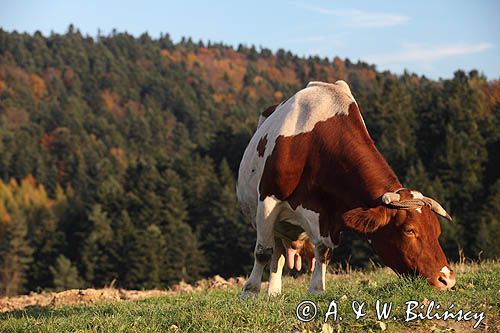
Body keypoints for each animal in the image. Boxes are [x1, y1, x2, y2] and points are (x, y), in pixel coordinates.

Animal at [238, 80, 458, 296]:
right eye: (409, 230)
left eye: (437, 230)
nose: (446, 279)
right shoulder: (268, 199)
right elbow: (263, 251)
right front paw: (250, 291)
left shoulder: (331, 215)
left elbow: (323, 251)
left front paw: (317, 289)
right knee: (274, 250)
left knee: (281, 253)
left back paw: (274, 293)